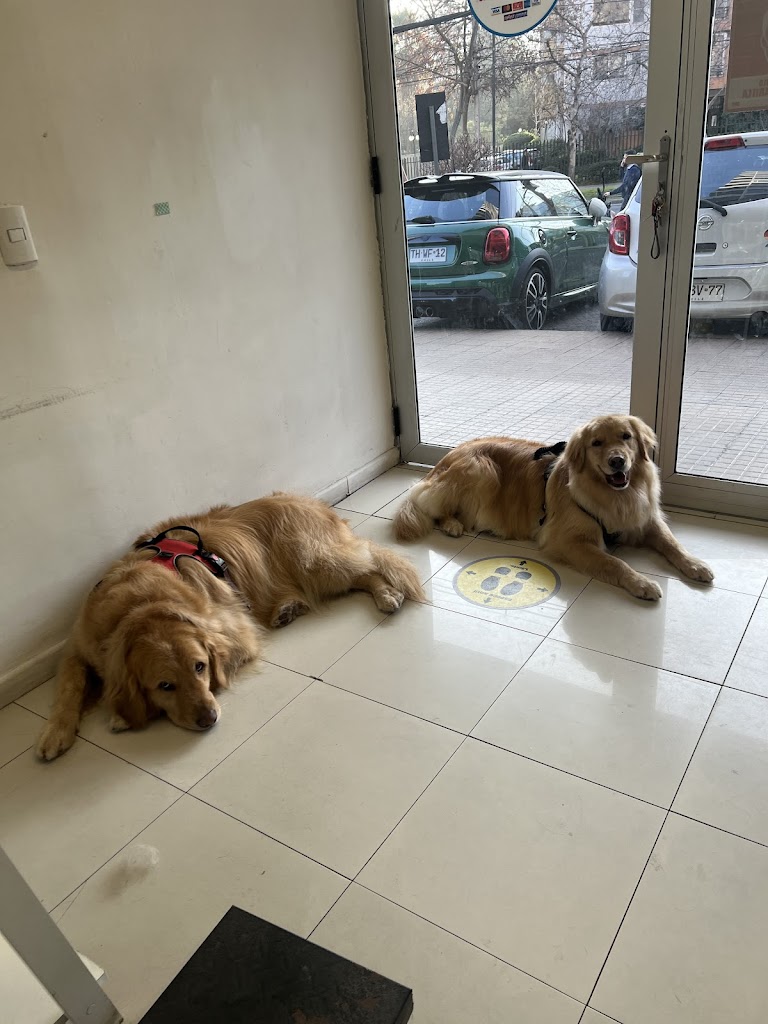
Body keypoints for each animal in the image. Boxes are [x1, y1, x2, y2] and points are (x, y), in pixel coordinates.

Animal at [36, 493, 423, 760]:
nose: (209, 718)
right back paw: (291, 608)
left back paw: (387, 593)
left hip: (314, 560)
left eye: (200, 667)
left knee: (370, 564)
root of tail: (315, 503)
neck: (139, 607)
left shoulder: (236, 632)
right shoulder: (78, 647)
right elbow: (69, 685)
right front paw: (55, 733)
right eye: (165, 685)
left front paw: (119, 715)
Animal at [394, 415, 713, 601]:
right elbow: (615, 562)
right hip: (481, 470)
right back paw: (452, 524)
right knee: (432, 508)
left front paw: (695, 564)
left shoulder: (645, 520)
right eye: (597, 443)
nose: (617, 461)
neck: (617, 496)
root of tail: (442, 461)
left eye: (627, 436)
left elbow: (673, 543)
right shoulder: (568, 540)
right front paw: (641, 583)